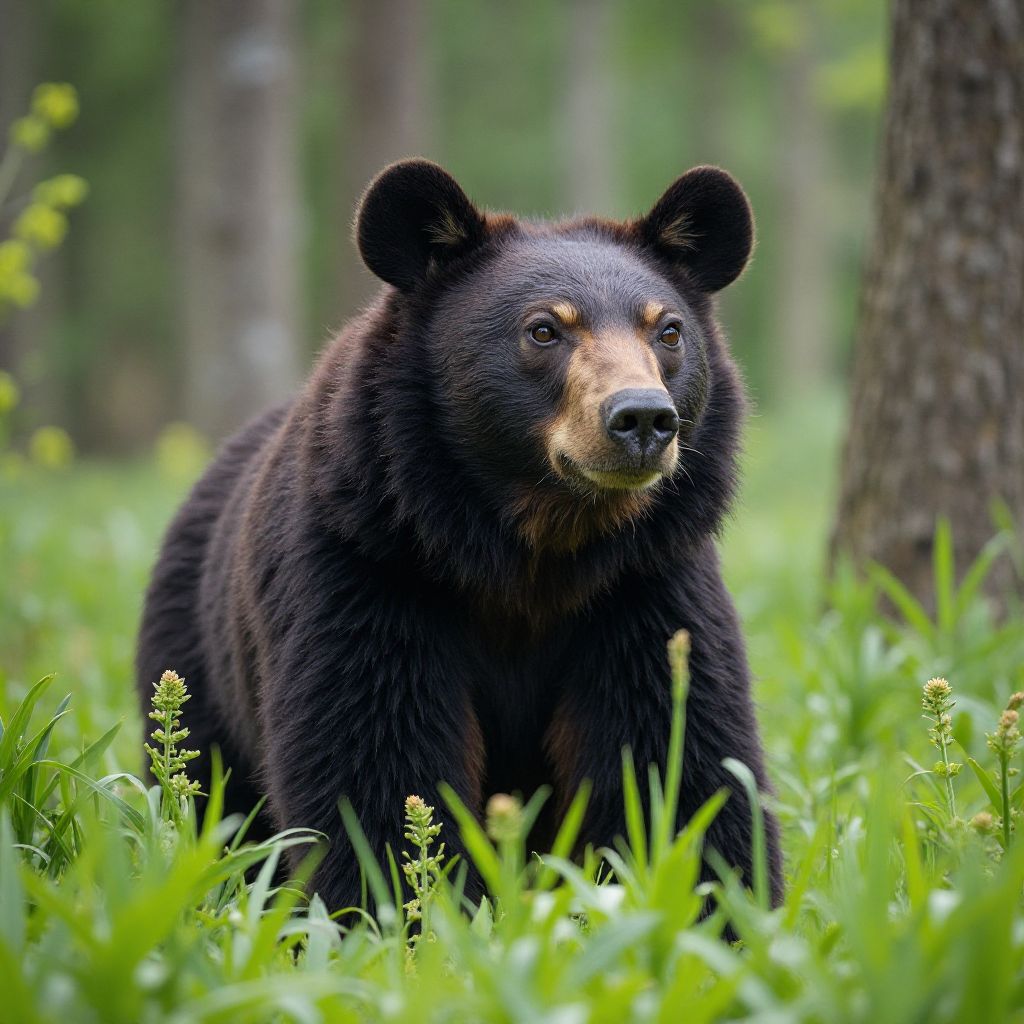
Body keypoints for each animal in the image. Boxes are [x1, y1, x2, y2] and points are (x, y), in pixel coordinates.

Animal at [136, 158, 783, 914]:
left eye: (668, 331)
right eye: (544, 330)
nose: (643, 419)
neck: (538, 550)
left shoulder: (646, 583)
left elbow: (676, 754)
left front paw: (719, 909)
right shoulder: (367, 569)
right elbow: (373, 758)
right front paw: (394, 914)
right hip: (197, 666)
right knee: (211, 789)